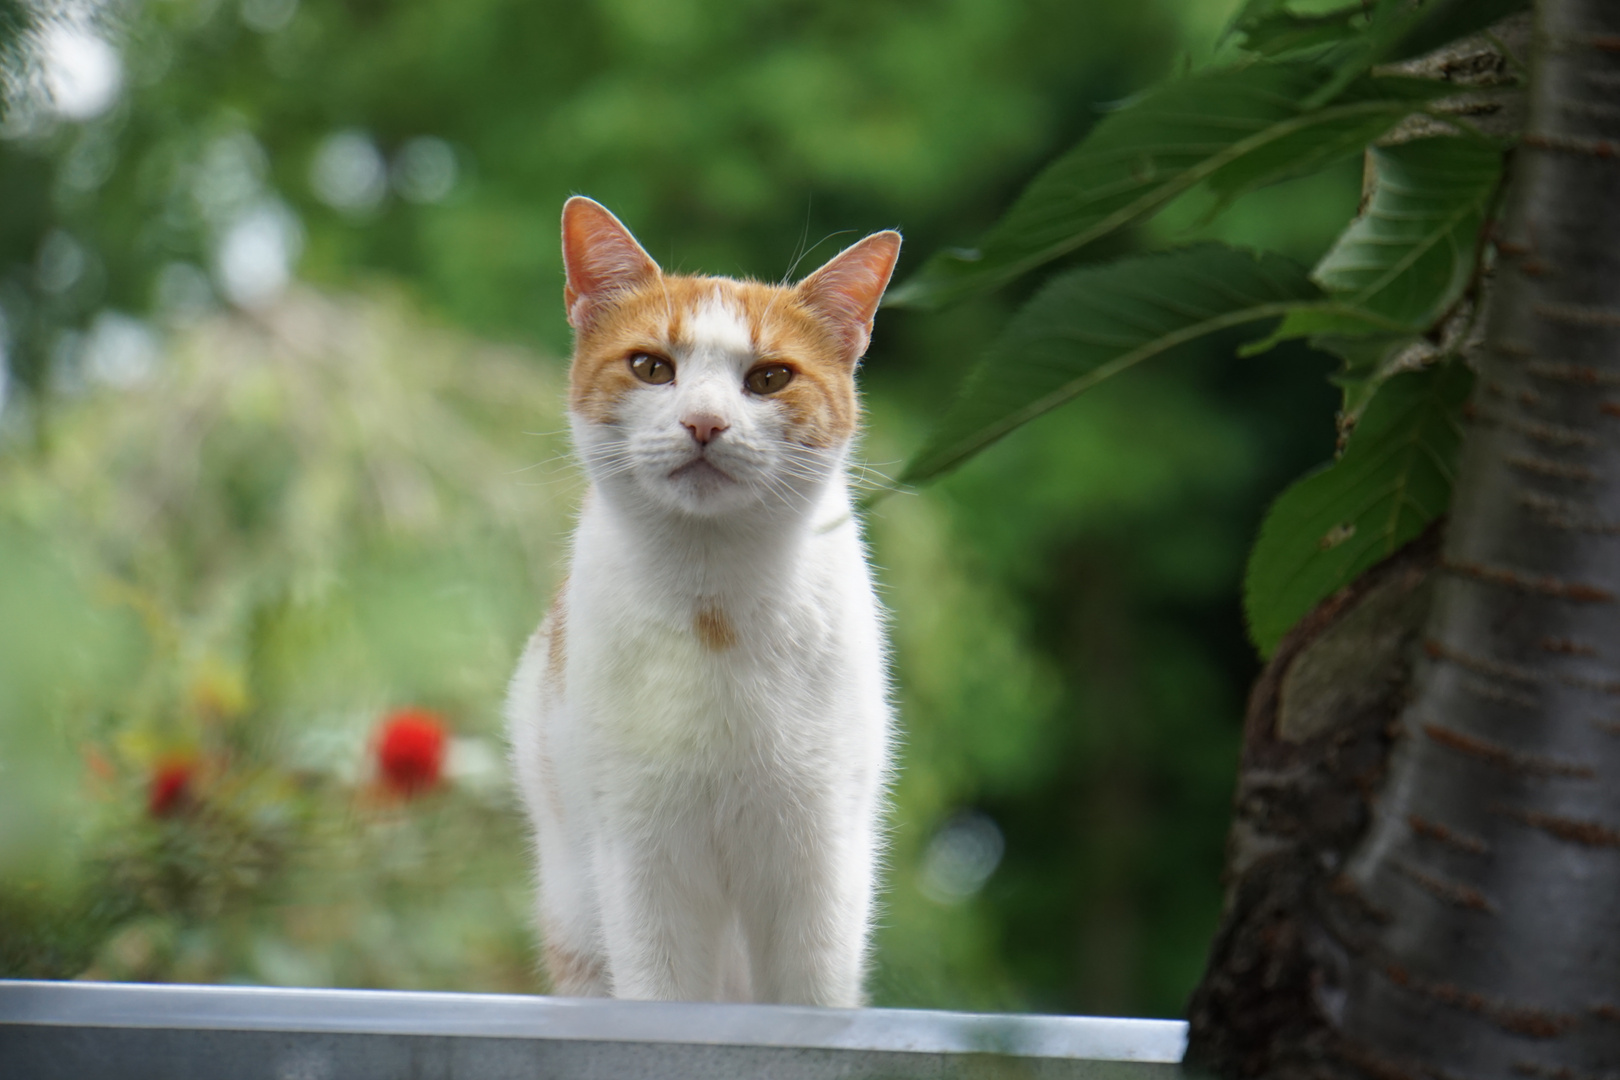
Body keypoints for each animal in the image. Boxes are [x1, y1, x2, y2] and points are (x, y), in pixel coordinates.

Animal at [505, 194, 900, 1003]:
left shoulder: (819, 856)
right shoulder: (642, 856)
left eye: (771, 377)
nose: (705, 423)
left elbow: (813, 997)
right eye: (652, 367)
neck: (713, 599)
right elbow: (661, 995)